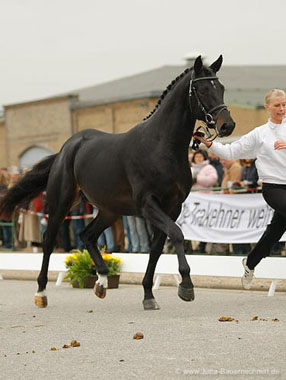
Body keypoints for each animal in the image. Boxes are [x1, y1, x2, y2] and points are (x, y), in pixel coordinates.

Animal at [0, 55, 235, 308]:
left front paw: (148, 295)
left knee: (87, 236)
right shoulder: (148, 204)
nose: (227, 125)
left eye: (221, 88)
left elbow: (157, 248)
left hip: (110, 210)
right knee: (49, 241)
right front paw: (186, 286)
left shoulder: (172, 207)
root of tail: (66, 148)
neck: (161, 146)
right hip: (61, 203)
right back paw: (41, 293)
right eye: (202, 89)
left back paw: (102, 281)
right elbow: (177, 234)